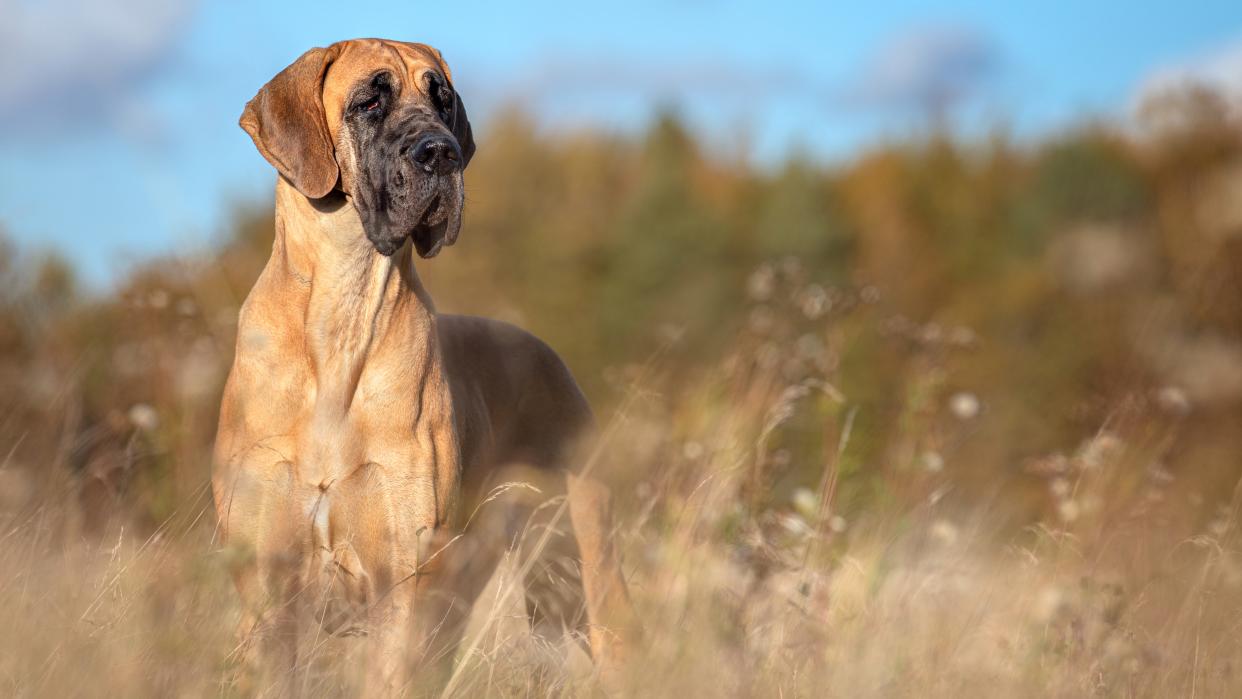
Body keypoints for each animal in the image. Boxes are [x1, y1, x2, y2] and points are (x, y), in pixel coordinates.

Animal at [212, 39, 635, 695]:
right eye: (370, 101)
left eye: (443, 100)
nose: (443, 151)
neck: (343, 313)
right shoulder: (265, 582)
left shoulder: (404, 578)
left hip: (584, 566)